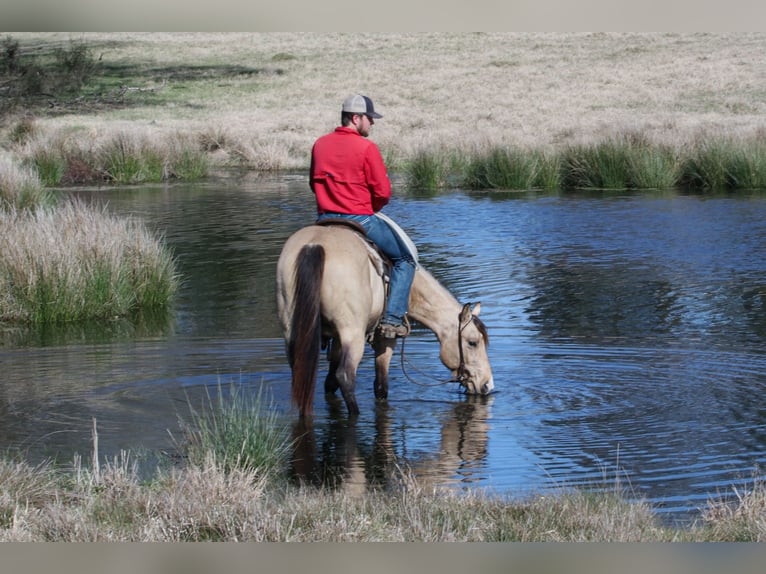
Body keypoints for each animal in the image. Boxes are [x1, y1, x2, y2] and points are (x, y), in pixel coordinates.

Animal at [280, 222, 496, 418]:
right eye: (472, 342)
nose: (487, 385)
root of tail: (315, 244)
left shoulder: (337, 340)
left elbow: (329, 383)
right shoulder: (385, 338)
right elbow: (381, 386)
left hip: (293, 330)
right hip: (352, 334)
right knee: (346, 376)